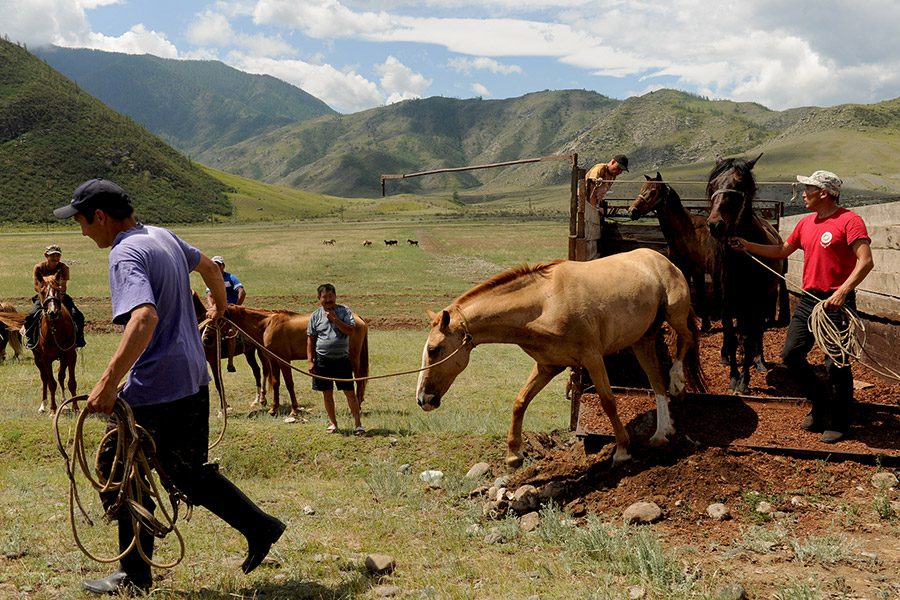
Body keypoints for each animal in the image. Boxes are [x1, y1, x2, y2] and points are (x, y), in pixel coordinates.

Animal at [418, 250, 708, 468]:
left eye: (433, 350)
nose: (423, 399)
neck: (544, 303)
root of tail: (661, 259)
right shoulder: (548, 366)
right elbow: (520, 401)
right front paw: (514, 454)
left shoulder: (592, 358)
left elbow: (608, 402)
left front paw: (622, 450)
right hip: (642, 340)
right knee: (656, 379)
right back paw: (661, 433)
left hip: (674, 314)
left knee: (686, 338)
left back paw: (678, 382)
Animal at [624, 173, 716, 330]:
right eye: (642, 189)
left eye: (653, 191)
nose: (632, 211)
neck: (687, 230)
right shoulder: (682, 268)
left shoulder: (697, 270)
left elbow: (701, 296)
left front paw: (705, 324)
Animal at [708, 154, 784, 394]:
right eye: (714, 184)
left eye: (739, 184)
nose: (715, 224)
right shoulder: (726, 303)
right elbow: (732, 338)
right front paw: (734, 377)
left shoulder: (755, 303)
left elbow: (750, 339)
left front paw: (744, 381)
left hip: (764, 300)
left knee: (757, 332)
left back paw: (759, 362)